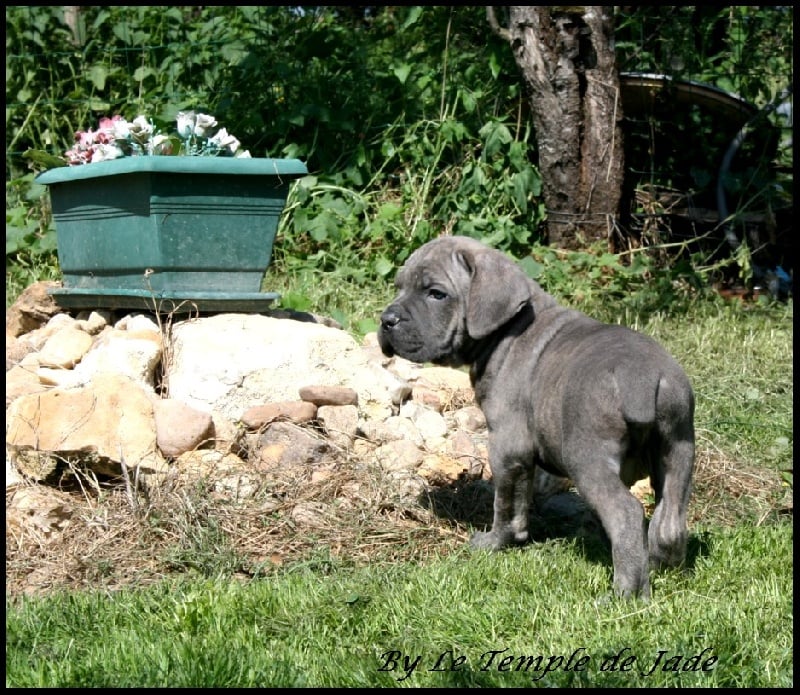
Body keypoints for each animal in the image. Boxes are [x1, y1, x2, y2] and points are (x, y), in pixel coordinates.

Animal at [376, 237, 692, 600]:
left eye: (436, 293)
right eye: (399, 287)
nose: (386, 320)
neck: (508, 330)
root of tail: (643, 378)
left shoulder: (507, 446)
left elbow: (506, 504)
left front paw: (494, 543)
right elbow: (526, 493)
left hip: (588, 459)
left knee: (626, 514)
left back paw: (623, 594)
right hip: (679, 448)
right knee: (669, 520)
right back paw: (659, 566)